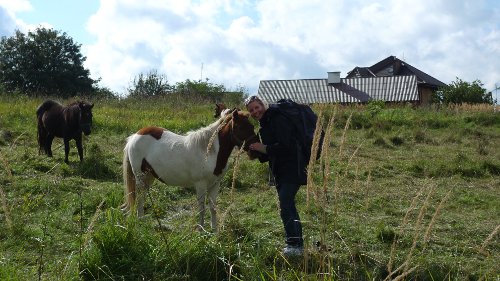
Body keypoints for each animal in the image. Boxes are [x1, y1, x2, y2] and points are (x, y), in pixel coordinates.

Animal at [122, 109, 258, 230]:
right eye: (241, 127)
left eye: (252, 126)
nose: (255, 151)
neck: (209, 151)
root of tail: (135, 136)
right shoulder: (201, 184)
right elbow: (202, 208)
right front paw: (201, 231)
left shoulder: (215, 184)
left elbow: (213, 208)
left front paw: (215, 232)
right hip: (140, 176)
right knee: (139, 197)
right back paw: (140, 222)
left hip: (149, 176)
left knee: (142, 196)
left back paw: (142, 220)